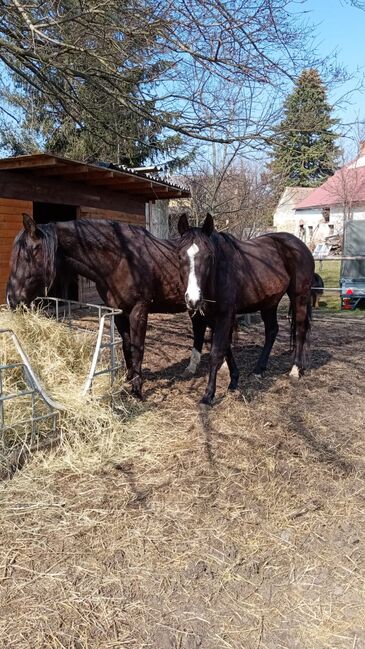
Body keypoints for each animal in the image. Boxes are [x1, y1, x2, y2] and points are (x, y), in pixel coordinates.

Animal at [5, 214, 206, 394]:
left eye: (27, 255)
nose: (11, 299)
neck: (122, 260)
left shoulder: (139, 310)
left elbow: (138, 347)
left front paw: (137, 388)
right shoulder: (119, 311)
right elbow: (126, 344)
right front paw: (128, 378)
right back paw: (191, 368)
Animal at [176, 213, 312, 404]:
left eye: (209, 256)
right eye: (180, 256)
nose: (193, 299)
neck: (218, 274)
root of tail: (300, 245)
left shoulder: (225, 315)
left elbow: (216, 352)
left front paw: (208, 395)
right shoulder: (214, 317)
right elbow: (226, 348)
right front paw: (234, 380)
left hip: (299, 297)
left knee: (300, 330)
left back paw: (295, 370)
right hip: (269, 303)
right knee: (272, 330)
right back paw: (258, 369)